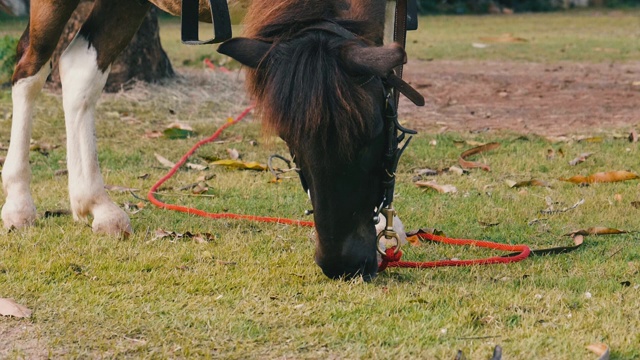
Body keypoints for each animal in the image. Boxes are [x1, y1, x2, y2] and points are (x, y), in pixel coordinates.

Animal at [2, 0, 404, 280]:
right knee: (30, 68)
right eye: (288, 138)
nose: (342, 263)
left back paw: (92, 203)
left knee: (78, 68)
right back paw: (21, 201)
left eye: (373, 131)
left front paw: (386, 227)